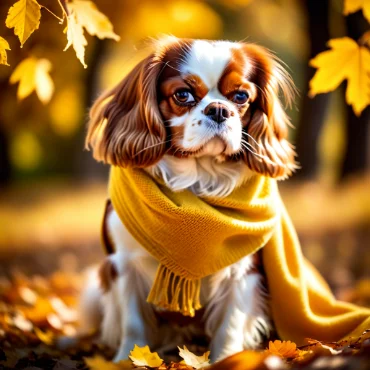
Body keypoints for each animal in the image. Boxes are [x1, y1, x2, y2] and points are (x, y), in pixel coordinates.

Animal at [79, 36, 298, 362]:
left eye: (241, 96)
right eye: (182, 94)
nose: (219, 109)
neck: (198, 178)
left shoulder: (245, 271)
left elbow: (230, 324)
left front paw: (227, 360)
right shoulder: (123, 264)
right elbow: (132, 322)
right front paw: (127, 360)